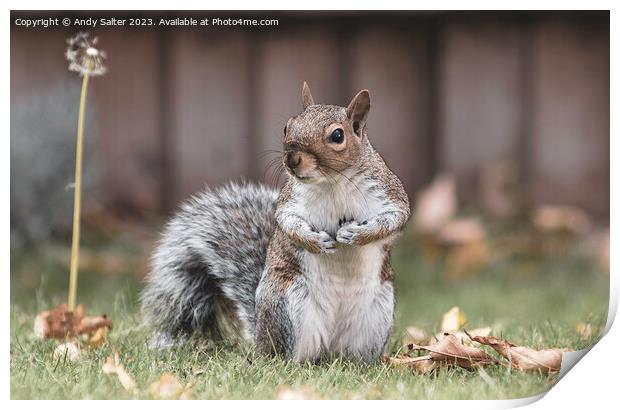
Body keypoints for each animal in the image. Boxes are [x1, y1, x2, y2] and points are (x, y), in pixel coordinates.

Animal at [140, 83, 412, 362]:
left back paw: (363, 363)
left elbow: (395, 218)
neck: (333, 182)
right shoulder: (290, 201)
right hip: (285, 304)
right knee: (284, 355)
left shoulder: (388, 193)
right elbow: (287, 223)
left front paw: (357, 234)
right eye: (287, 126)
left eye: (337, 136)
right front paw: (315, 241)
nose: (292, 158)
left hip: (377, 314)